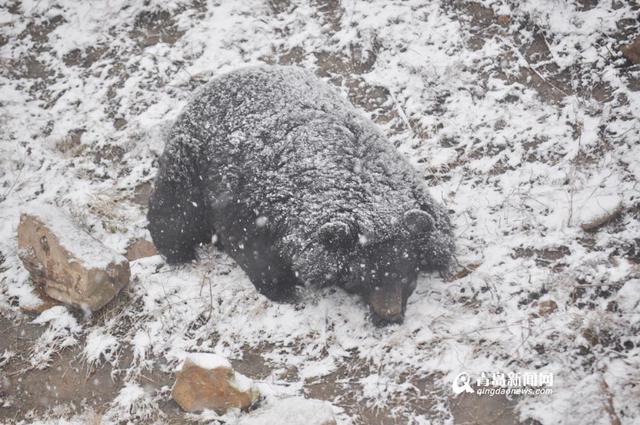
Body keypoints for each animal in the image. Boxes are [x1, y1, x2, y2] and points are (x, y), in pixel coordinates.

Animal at [148, 65, 456, 324]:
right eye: (361, 279)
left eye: (409, 277)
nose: (389, 315)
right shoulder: (250, 209)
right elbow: (255, 255)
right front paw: (285, 290)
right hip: (188, 164)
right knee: (174, 213)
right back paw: (181, 253)